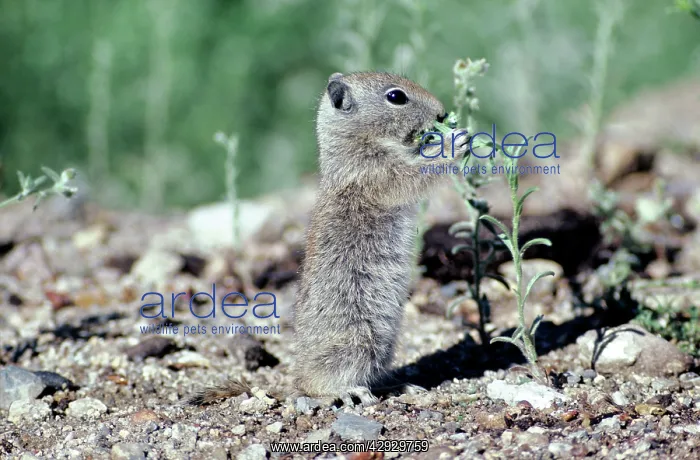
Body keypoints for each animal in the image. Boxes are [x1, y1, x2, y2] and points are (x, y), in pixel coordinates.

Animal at [189, 72, 469, 407]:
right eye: (396, 97)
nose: (442, 113)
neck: (356, 144)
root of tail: (293, 381)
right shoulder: (380, 174)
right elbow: (416, 174)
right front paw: (455, 142)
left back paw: (399, 386)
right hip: (358, 341)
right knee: (320, 385)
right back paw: (346, 392)